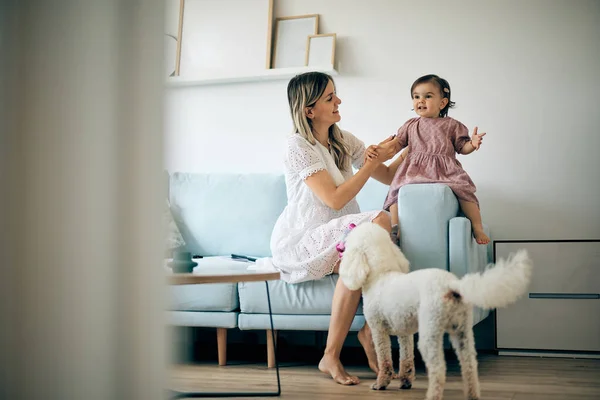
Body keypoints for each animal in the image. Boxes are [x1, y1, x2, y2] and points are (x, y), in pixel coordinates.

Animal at [340, 223, 532, 400]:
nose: (341, 246)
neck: (381, 274)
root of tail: (452, 285)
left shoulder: (378, 330)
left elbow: (384, 360)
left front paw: (381, 383)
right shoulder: (404, 331)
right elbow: (406, 358)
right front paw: (405, 381)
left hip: (430, 331)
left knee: (438, 369)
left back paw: (433, 395)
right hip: (462, 330)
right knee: (469, 365)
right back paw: (472, 394)